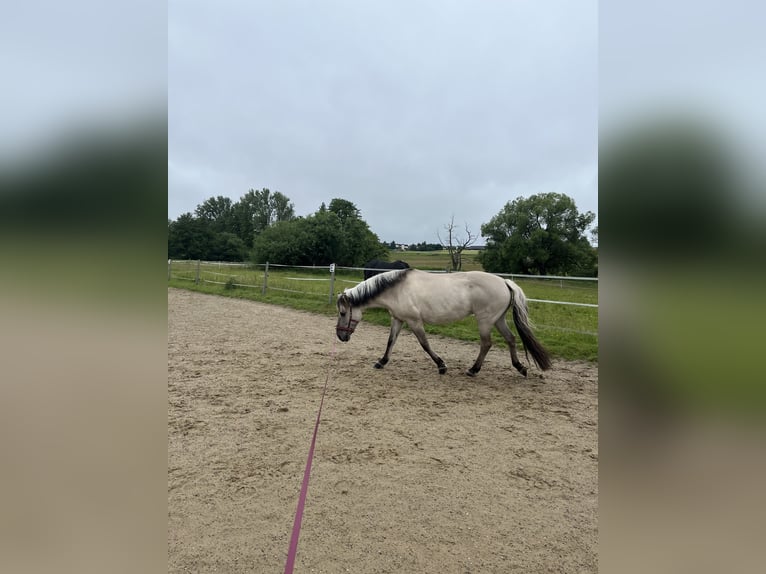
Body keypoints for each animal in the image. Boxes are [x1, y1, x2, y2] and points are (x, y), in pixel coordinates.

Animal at [336, 268, 552, 377]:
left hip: (485, 320)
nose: (340, 336)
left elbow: (425, 344)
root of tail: (505, 282)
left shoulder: (414, 321)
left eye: (343, 312)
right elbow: (390, 342)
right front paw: (381, 362)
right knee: (511, 339)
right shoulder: (398, 319)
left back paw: (473, 370)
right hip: (497, 320)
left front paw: (441, 366)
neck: (396, 289)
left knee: (486, 344)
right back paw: (520, 367)